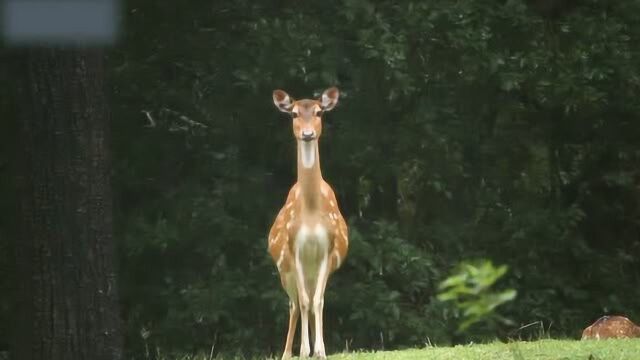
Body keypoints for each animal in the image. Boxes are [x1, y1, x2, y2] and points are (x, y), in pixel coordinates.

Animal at [266, 88, 350, 360]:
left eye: (319, 112)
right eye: (293, 113)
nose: (307, 134)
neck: (312, 213)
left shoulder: (327, 249)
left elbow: (318, 301)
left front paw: (320, 350)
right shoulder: (295, 249)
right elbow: (303, 302)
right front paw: (303, 350)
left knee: (312, 299)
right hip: (285, 272)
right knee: (294, 304)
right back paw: (287, 353)